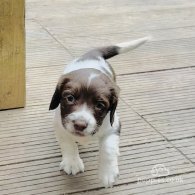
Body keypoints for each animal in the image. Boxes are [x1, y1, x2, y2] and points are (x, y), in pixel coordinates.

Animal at [49, 36, 150, 187]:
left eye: (100, 105)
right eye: (70, 98)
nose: (79, 125)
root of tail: (93, 54)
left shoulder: (114, 124)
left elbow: (108, 148)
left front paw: (108, 173)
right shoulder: (60, 124)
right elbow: (67, 142)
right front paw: (72, 162)